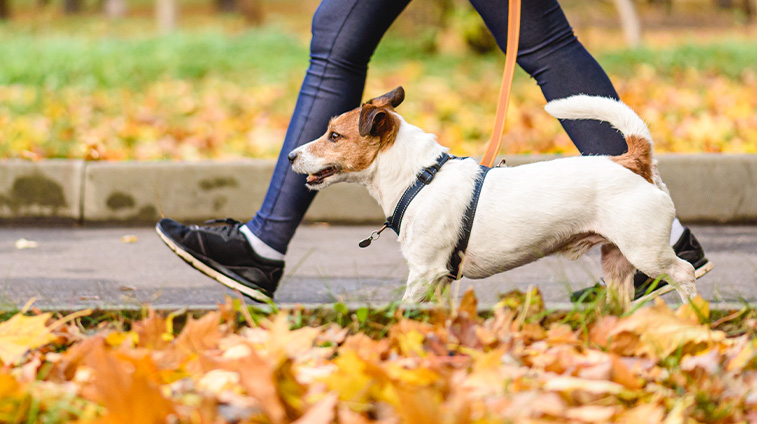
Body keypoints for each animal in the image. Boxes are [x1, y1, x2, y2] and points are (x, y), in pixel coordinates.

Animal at [284, 86, 696, 306]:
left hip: (646, 252)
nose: (290, 156)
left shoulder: (424, 272)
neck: (419, 178)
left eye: (334, 136)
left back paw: (695, 314)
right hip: (617, 264)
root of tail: (633, 159)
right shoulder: (441, 279)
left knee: (685, 273)